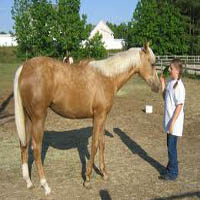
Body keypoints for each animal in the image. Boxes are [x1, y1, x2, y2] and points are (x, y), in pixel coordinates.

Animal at [14, 43, 159, 195]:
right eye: (152, 63)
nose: (157, 86)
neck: (107, 77)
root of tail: (24, 67)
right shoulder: (99, 116)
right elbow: (94, 145)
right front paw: (87, 179)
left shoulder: (102, 117)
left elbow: (102, 144)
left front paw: (104, 174)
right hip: (38, 118)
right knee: (36, 148)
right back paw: (45, 185)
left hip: (28, 118)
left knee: (24, 145)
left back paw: (29, 182)